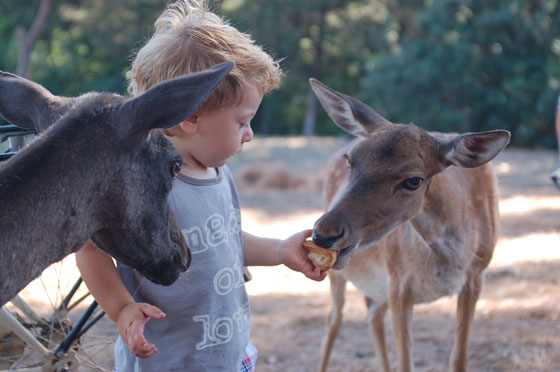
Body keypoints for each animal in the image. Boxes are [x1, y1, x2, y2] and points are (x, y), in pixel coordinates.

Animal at [310, 79, 512, 372]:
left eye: (413, 180)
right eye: (351, 160)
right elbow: (406, 362)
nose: (324, 234)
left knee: (371, 314)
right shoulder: (399, 282)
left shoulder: (476, 277)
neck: (452, 259)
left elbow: (459, 357)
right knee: (333, 320)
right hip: (344, 275)